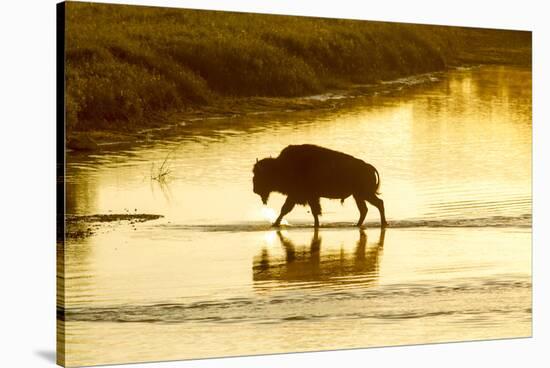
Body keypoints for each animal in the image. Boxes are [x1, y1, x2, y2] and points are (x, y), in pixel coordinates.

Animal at [254, 144, 388, 227]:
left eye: (259, 175)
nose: (255, 190)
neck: (281, 166)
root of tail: (369, 167)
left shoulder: (301, 196)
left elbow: (287, 209)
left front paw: (275, 224)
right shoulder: (307, 197)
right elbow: (311, 211)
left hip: (364, 194)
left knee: (378, 204)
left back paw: (382, 223)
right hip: (358, 196)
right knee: (365, 209)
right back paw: (358, 224)